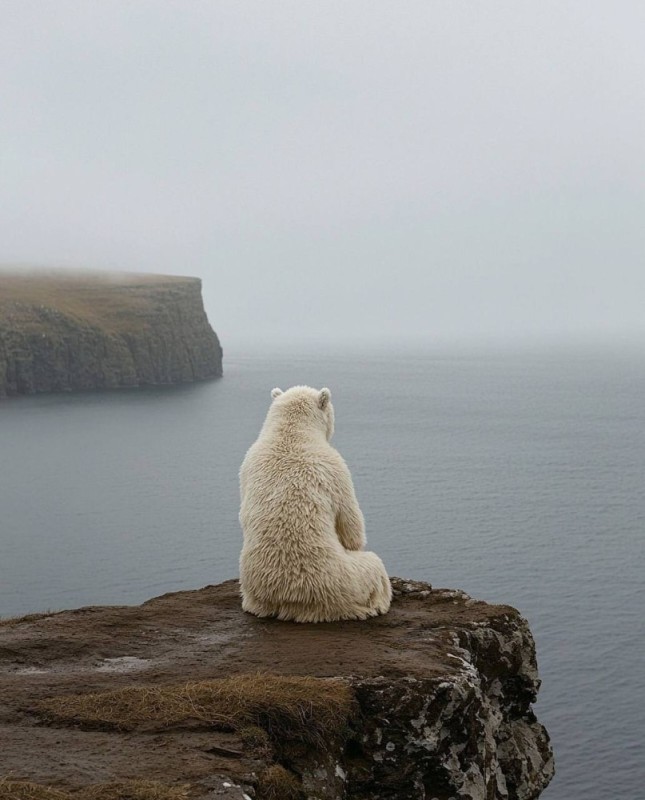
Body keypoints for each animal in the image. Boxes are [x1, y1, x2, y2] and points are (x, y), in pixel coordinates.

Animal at [239, 384, 390, 620]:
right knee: (375, 567)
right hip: (346, 581)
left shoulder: (246, 465)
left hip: (254, 593)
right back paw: (377, 604)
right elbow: (351, 528)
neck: (290, 435)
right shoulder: (336, 468)